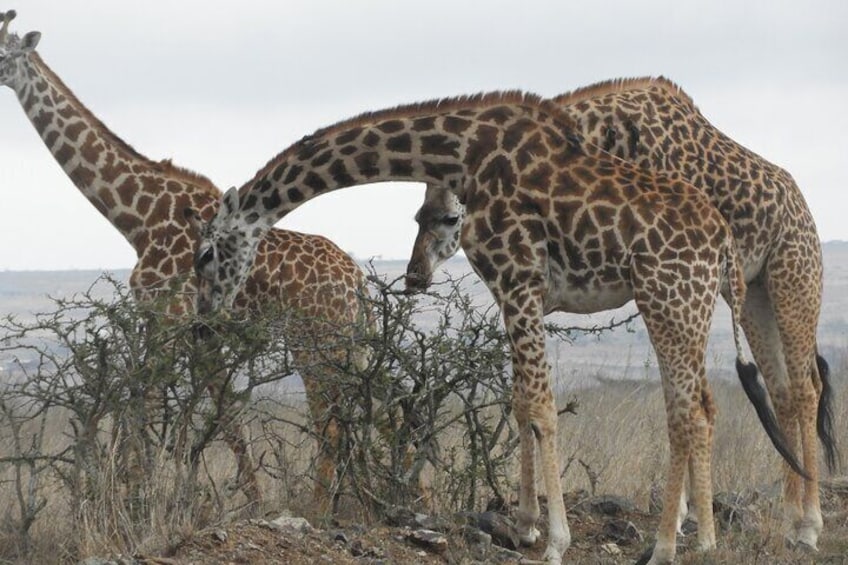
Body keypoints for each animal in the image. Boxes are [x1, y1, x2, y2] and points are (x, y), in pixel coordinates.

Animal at [0, 8, 372, 512]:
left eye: (3, 52)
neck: (136, 216)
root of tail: (356, 278)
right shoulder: (190, 328)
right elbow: (224, 414)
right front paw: (247, 500)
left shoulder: (169, 316)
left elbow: (149, 401)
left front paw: (138, 500)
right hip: (351, 340)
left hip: (316, 337)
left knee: (330, 419)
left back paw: (319, 510)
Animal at [187, 90, 808, 560]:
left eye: (207, 253)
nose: (204, 320)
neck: (461, 152)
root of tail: (723, 243)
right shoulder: (511, 290)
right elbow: (519, 400)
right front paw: (524, 524)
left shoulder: (518, 278)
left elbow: (540, 405)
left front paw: (555, 540)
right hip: (689, 307)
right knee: (701, 406)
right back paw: (702, 539)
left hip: (668, 300)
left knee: (687, 413)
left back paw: (665, 546)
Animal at [408, 76, 840, 552]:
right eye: (417, 216)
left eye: (448, 219)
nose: (414, 275)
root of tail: (804, 208)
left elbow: (686, 401)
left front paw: (684, 521)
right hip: (755, 296)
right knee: (780, 390)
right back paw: (788, 517)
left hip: (793, 278)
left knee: (805, 388)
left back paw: (809, 526)